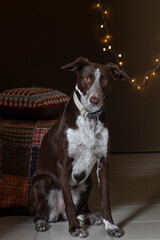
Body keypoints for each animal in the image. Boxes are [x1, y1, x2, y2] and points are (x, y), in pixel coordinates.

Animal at [30, 56, 129, 238]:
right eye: (87, 78)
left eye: (105, 80)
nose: (94, 100)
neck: (89, 118)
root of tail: (57, 214)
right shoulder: (63, 164)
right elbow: (69, 201)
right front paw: (75, 228)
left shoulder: (103, 163)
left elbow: (105, 200)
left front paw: (110, 226)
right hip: (42, 181)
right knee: (39, 214)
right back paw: (41, 222)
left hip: (87, 183)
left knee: (78, 210)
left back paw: (89, 218)